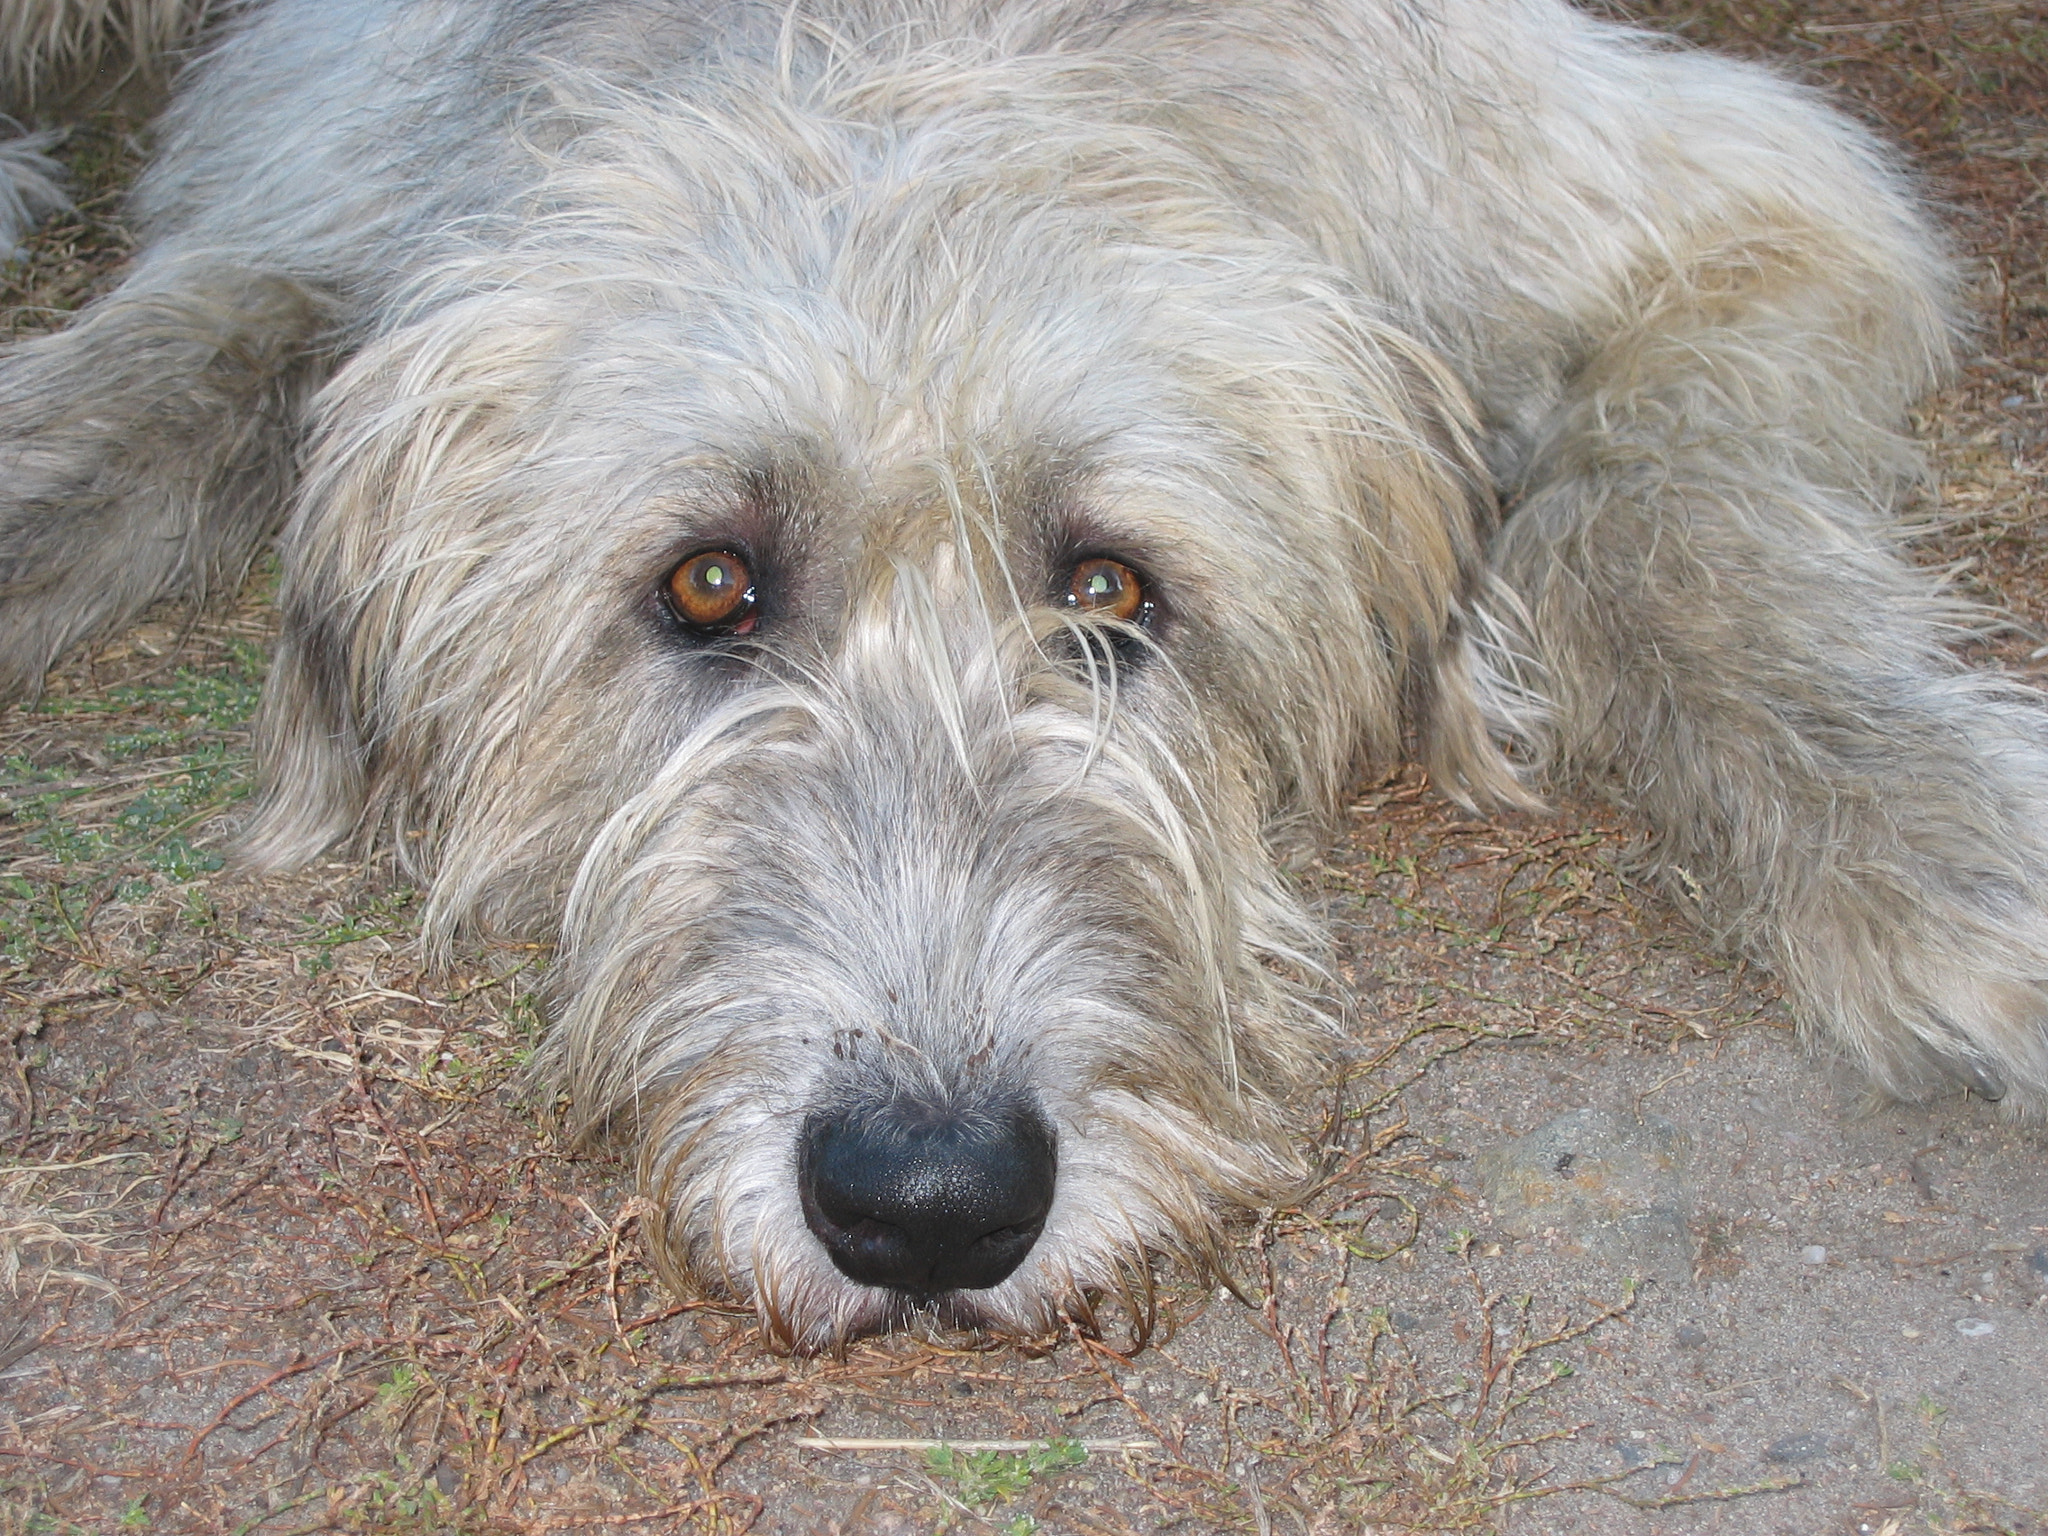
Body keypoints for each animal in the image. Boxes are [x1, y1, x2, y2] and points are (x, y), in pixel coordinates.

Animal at [0, 0, 2031, 1343]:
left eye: (1113, 590)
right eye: (709, 585)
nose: (928, 1205)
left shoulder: (1714, 201)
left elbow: (1660, 513)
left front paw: (1931, 836)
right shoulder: (331, 166)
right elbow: (203, 341)